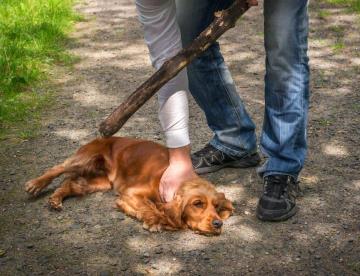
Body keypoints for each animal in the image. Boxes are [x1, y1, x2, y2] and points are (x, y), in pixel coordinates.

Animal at [25, 137, 233, 235]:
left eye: (216, 207)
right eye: (197, 204)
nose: (218, 224)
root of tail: (102, 137)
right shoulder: (131, 193)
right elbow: (149, 206)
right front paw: (157, 221)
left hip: (99, 182)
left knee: (71, 184)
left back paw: (55, 199)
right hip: (84, 159)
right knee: (57, 168)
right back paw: (35, 184)